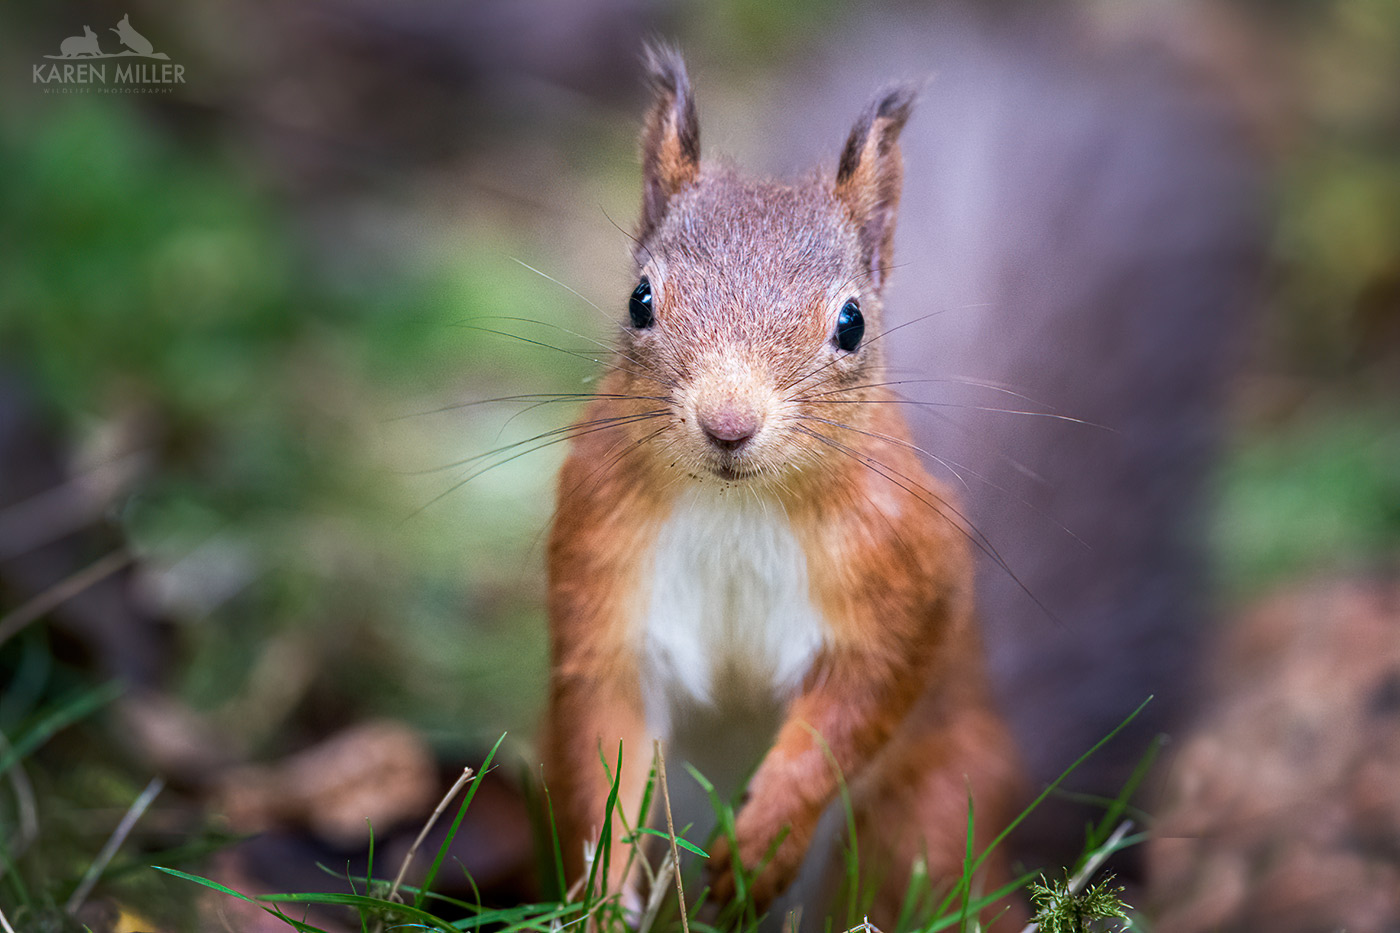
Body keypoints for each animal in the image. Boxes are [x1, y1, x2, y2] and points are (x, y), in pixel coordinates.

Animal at [541, 45, 1022, 925]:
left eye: (852, 322)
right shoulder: (602, 561)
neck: (738, 505)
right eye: (640, 300)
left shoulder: (901, 566)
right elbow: (605, 733)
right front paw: (602, 891)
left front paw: (763, 839)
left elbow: (859, 702)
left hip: (930, 819)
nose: (728, 422)